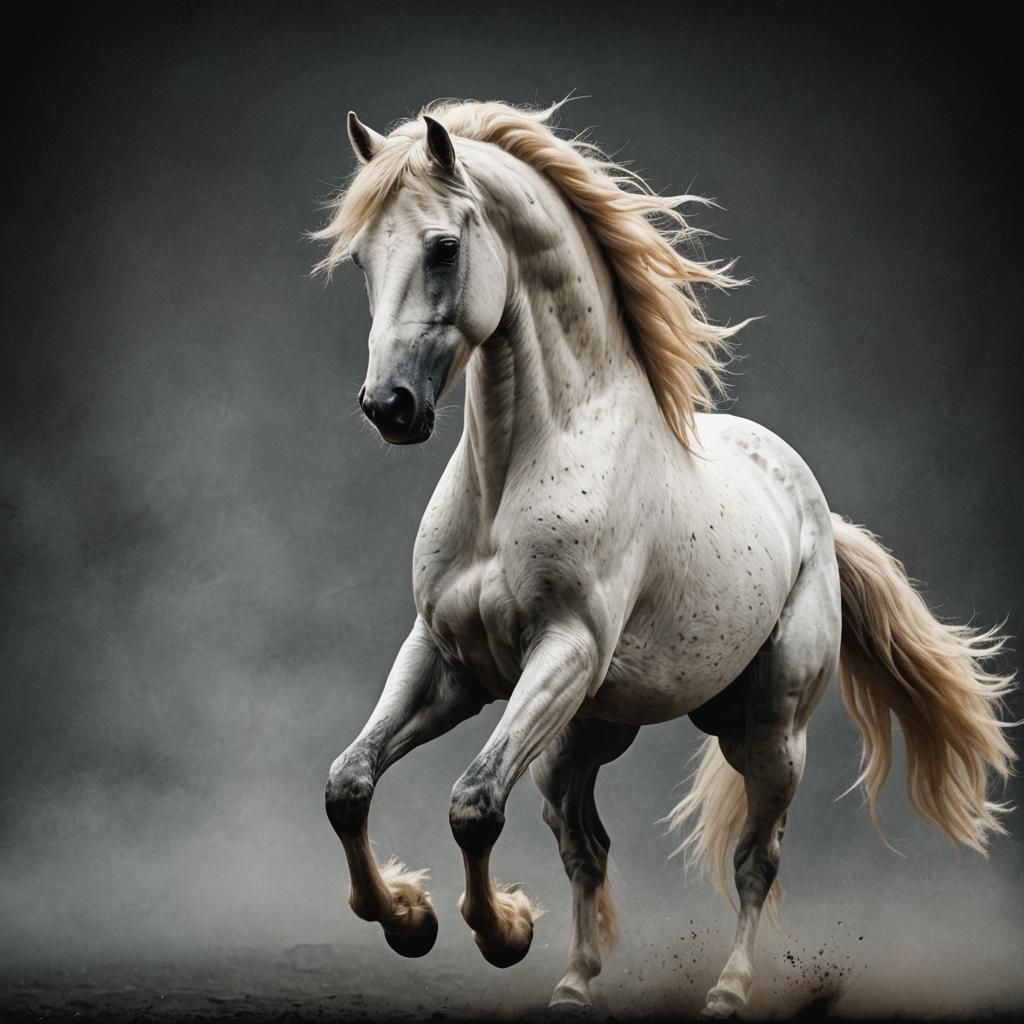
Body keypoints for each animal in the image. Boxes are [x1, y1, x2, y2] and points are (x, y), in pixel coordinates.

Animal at [312, 99, 1016, 1018]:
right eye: (362, 256)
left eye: (442, 248)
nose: (388, 407)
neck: (517, 473)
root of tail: (817, 511)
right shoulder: (448, 660)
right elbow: (350, 784)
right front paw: (411, 918)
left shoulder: (565, 650)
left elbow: (473, 803)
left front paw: (502, 931)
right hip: (583, 733)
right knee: (585, 842)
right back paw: (574, 984)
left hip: (769, 732)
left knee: (756, 860)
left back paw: (727, 992)